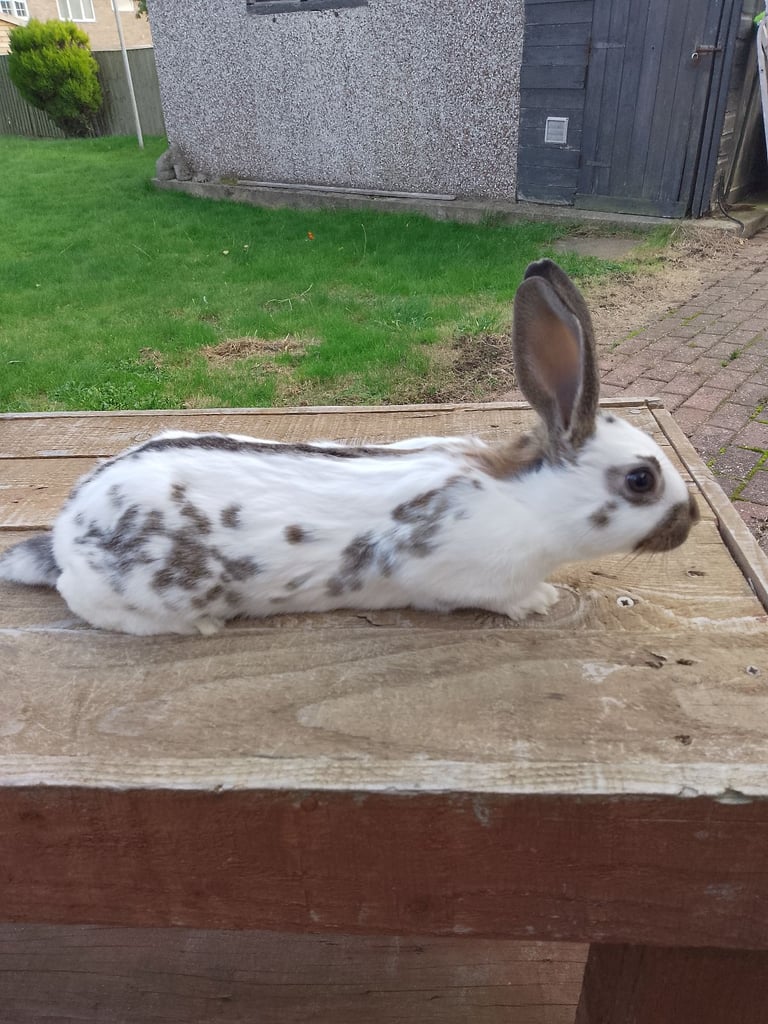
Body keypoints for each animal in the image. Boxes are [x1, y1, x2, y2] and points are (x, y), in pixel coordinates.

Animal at [0, 259, 699, 636]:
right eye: (641, 480)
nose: (691, 519)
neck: (529, 502)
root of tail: (65, 532)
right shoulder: (466, 576)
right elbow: (497, 598)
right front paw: (539, 602)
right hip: (120, 594)